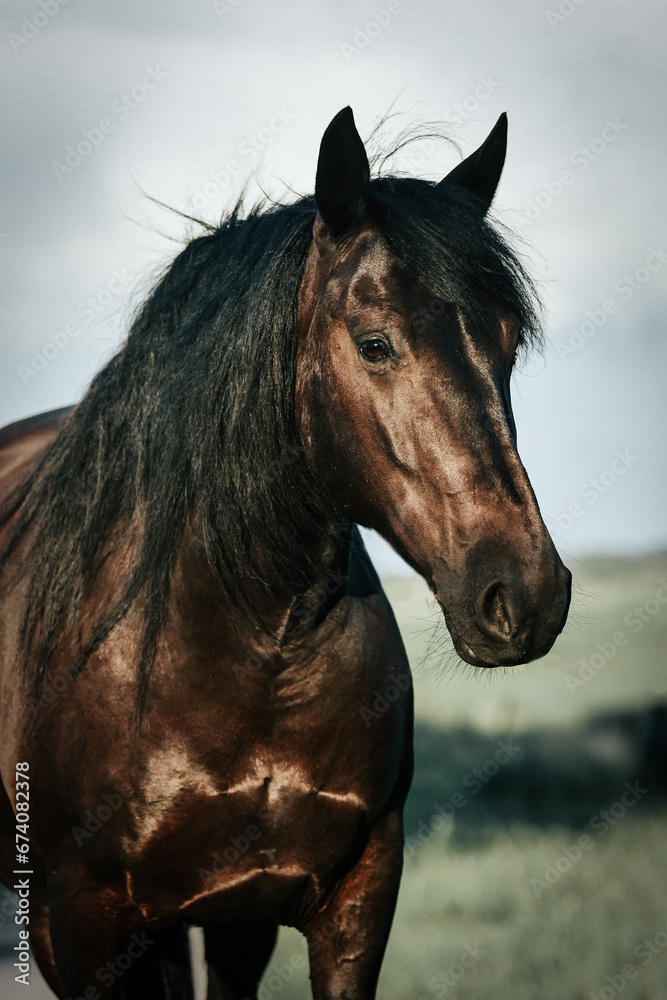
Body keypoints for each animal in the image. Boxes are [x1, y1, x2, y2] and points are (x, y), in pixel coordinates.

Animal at [0, 106, 571, 999]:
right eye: (374, 344)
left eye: (507, 343)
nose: (526, 595)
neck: (254, 648)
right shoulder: (75, 929)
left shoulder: (338, 904)